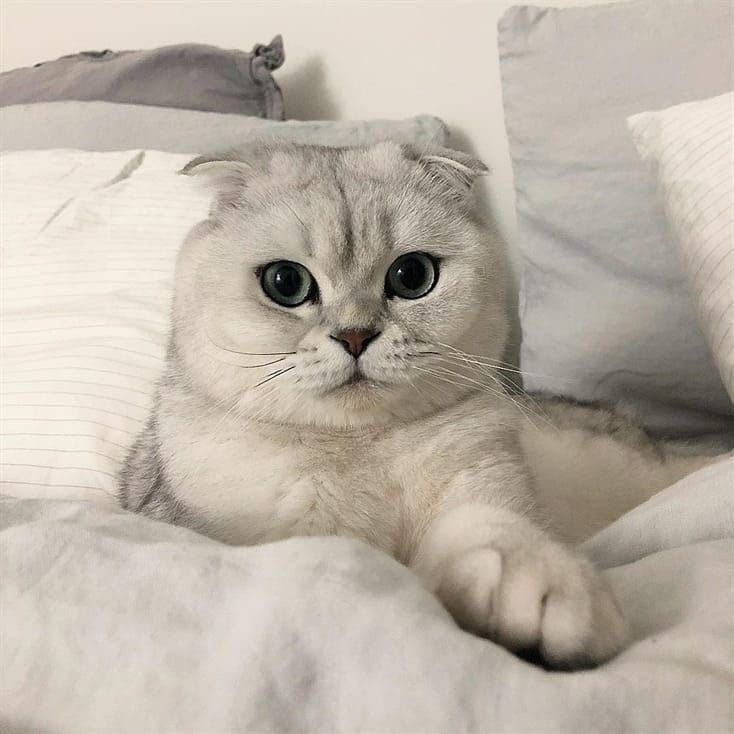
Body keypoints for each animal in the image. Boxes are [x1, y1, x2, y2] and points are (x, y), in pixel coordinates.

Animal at [118, 144, 716, 672]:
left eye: (412, 276)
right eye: (285, 283)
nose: (356, 336)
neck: (357, 446)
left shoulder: (483, 482)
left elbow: (496, 532)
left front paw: (538, 593)